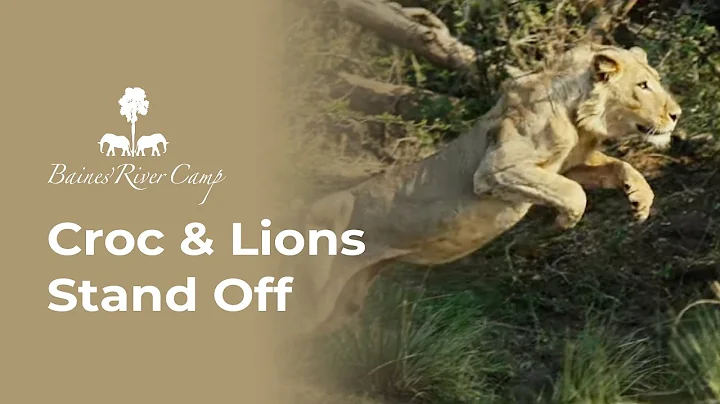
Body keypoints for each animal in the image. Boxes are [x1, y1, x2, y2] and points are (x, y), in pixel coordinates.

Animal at [292, 43, 682, 336]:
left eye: (656, 82)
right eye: (643, 86)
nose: (677, 114)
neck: (579, 117)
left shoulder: (570, 164)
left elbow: (618, 167)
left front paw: (640, 200)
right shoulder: (495, 168)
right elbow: (574, 192)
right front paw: (561, 223)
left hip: (345, 304)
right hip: (314, 293)